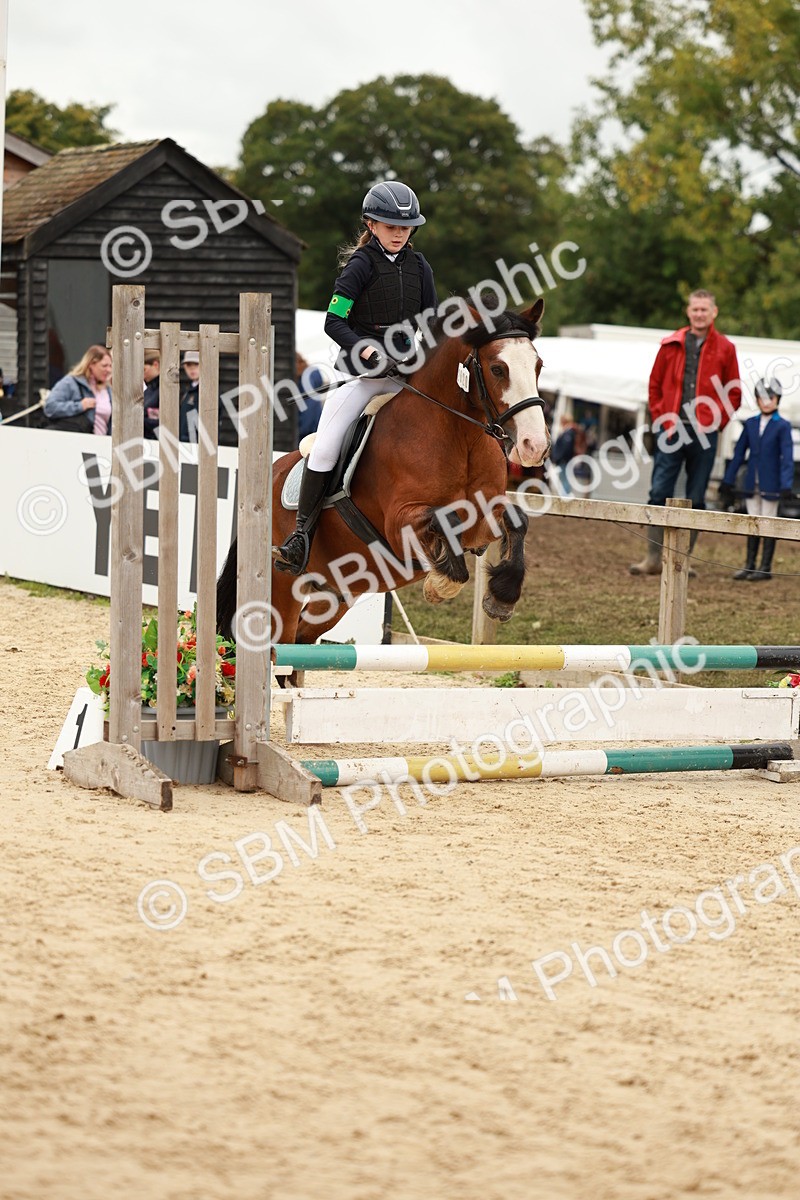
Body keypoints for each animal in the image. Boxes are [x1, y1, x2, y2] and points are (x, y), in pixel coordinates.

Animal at [217, 299, 550, 645]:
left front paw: (501, 596)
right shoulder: (400, 522)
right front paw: (439, 586)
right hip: (283, 587)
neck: (460, 439)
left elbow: (517, 520)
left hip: (337, 594)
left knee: (302, 638)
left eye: (538, 366)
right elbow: (444, 519)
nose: (534, 446)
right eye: (498, 368)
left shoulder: (481, 522)